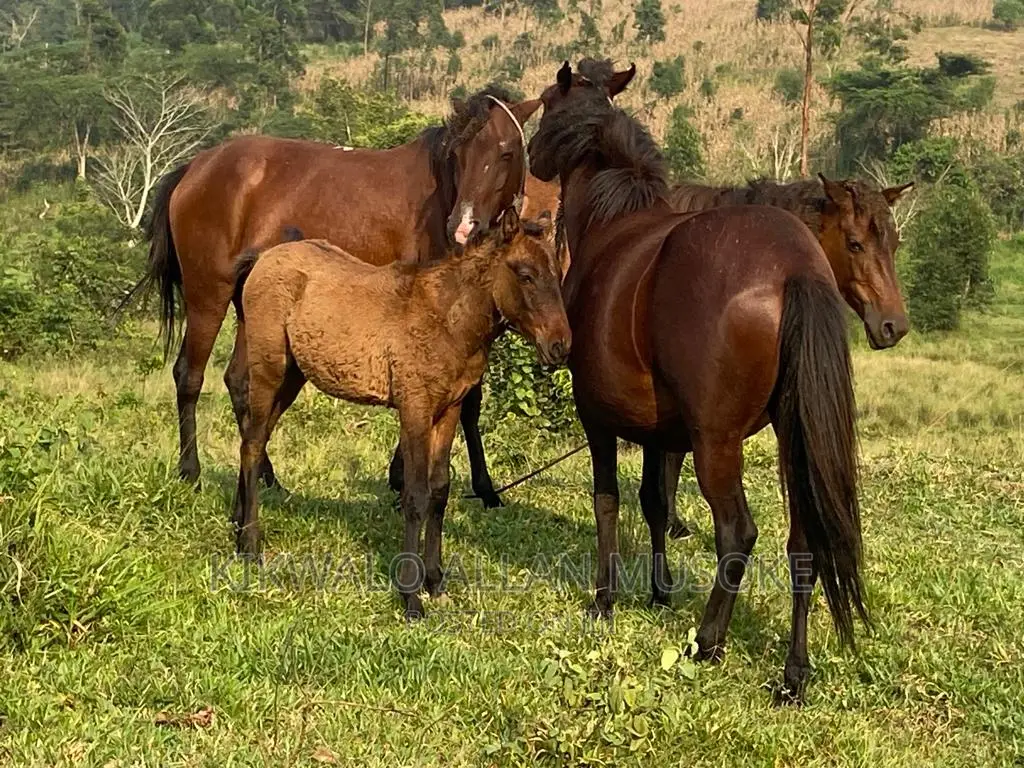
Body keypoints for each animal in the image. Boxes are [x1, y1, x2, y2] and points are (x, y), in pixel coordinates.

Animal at [124, 86, 540, 508]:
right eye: (458, 153)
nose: (463, 226)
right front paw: (449, 483)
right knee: (189, 376)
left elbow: (466, 399)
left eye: (506, 152)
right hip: (208, 294)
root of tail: (194, 167)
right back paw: (190, 472)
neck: (441, 197)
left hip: (254, 304)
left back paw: (267, 476)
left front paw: (465, 484)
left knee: (240, 381)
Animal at [232, 209, 570, 619]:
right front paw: (411, 596)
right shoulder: (415, 409)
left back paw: (237, 529)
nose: (560, 345)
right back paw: (250, 545)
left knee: (252, 439)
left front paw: (436, 581)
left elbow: (439, 490)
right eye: (524, 274)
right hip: (270, 370)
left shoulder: (449, 410)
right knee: (252, 444)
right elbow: (415, 493)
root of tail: (263, 258)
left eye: (557, 272)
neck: (447, 318)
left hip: (293, 377)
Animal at [529, 61, 867, 702]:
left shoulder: (599, 419)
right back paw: (793, 674)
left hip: (718, 444)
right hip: (792, 439)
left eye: (543, 105)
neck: (614, 223)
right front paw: (659, 592)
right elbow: (656, 503)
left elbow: (609, 502)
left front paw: (606, 599)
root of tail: (794, 265)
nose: (532, 159)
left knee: (737, 532)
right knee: (803, 545)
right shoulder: (662, 434)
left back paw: (709, 639)